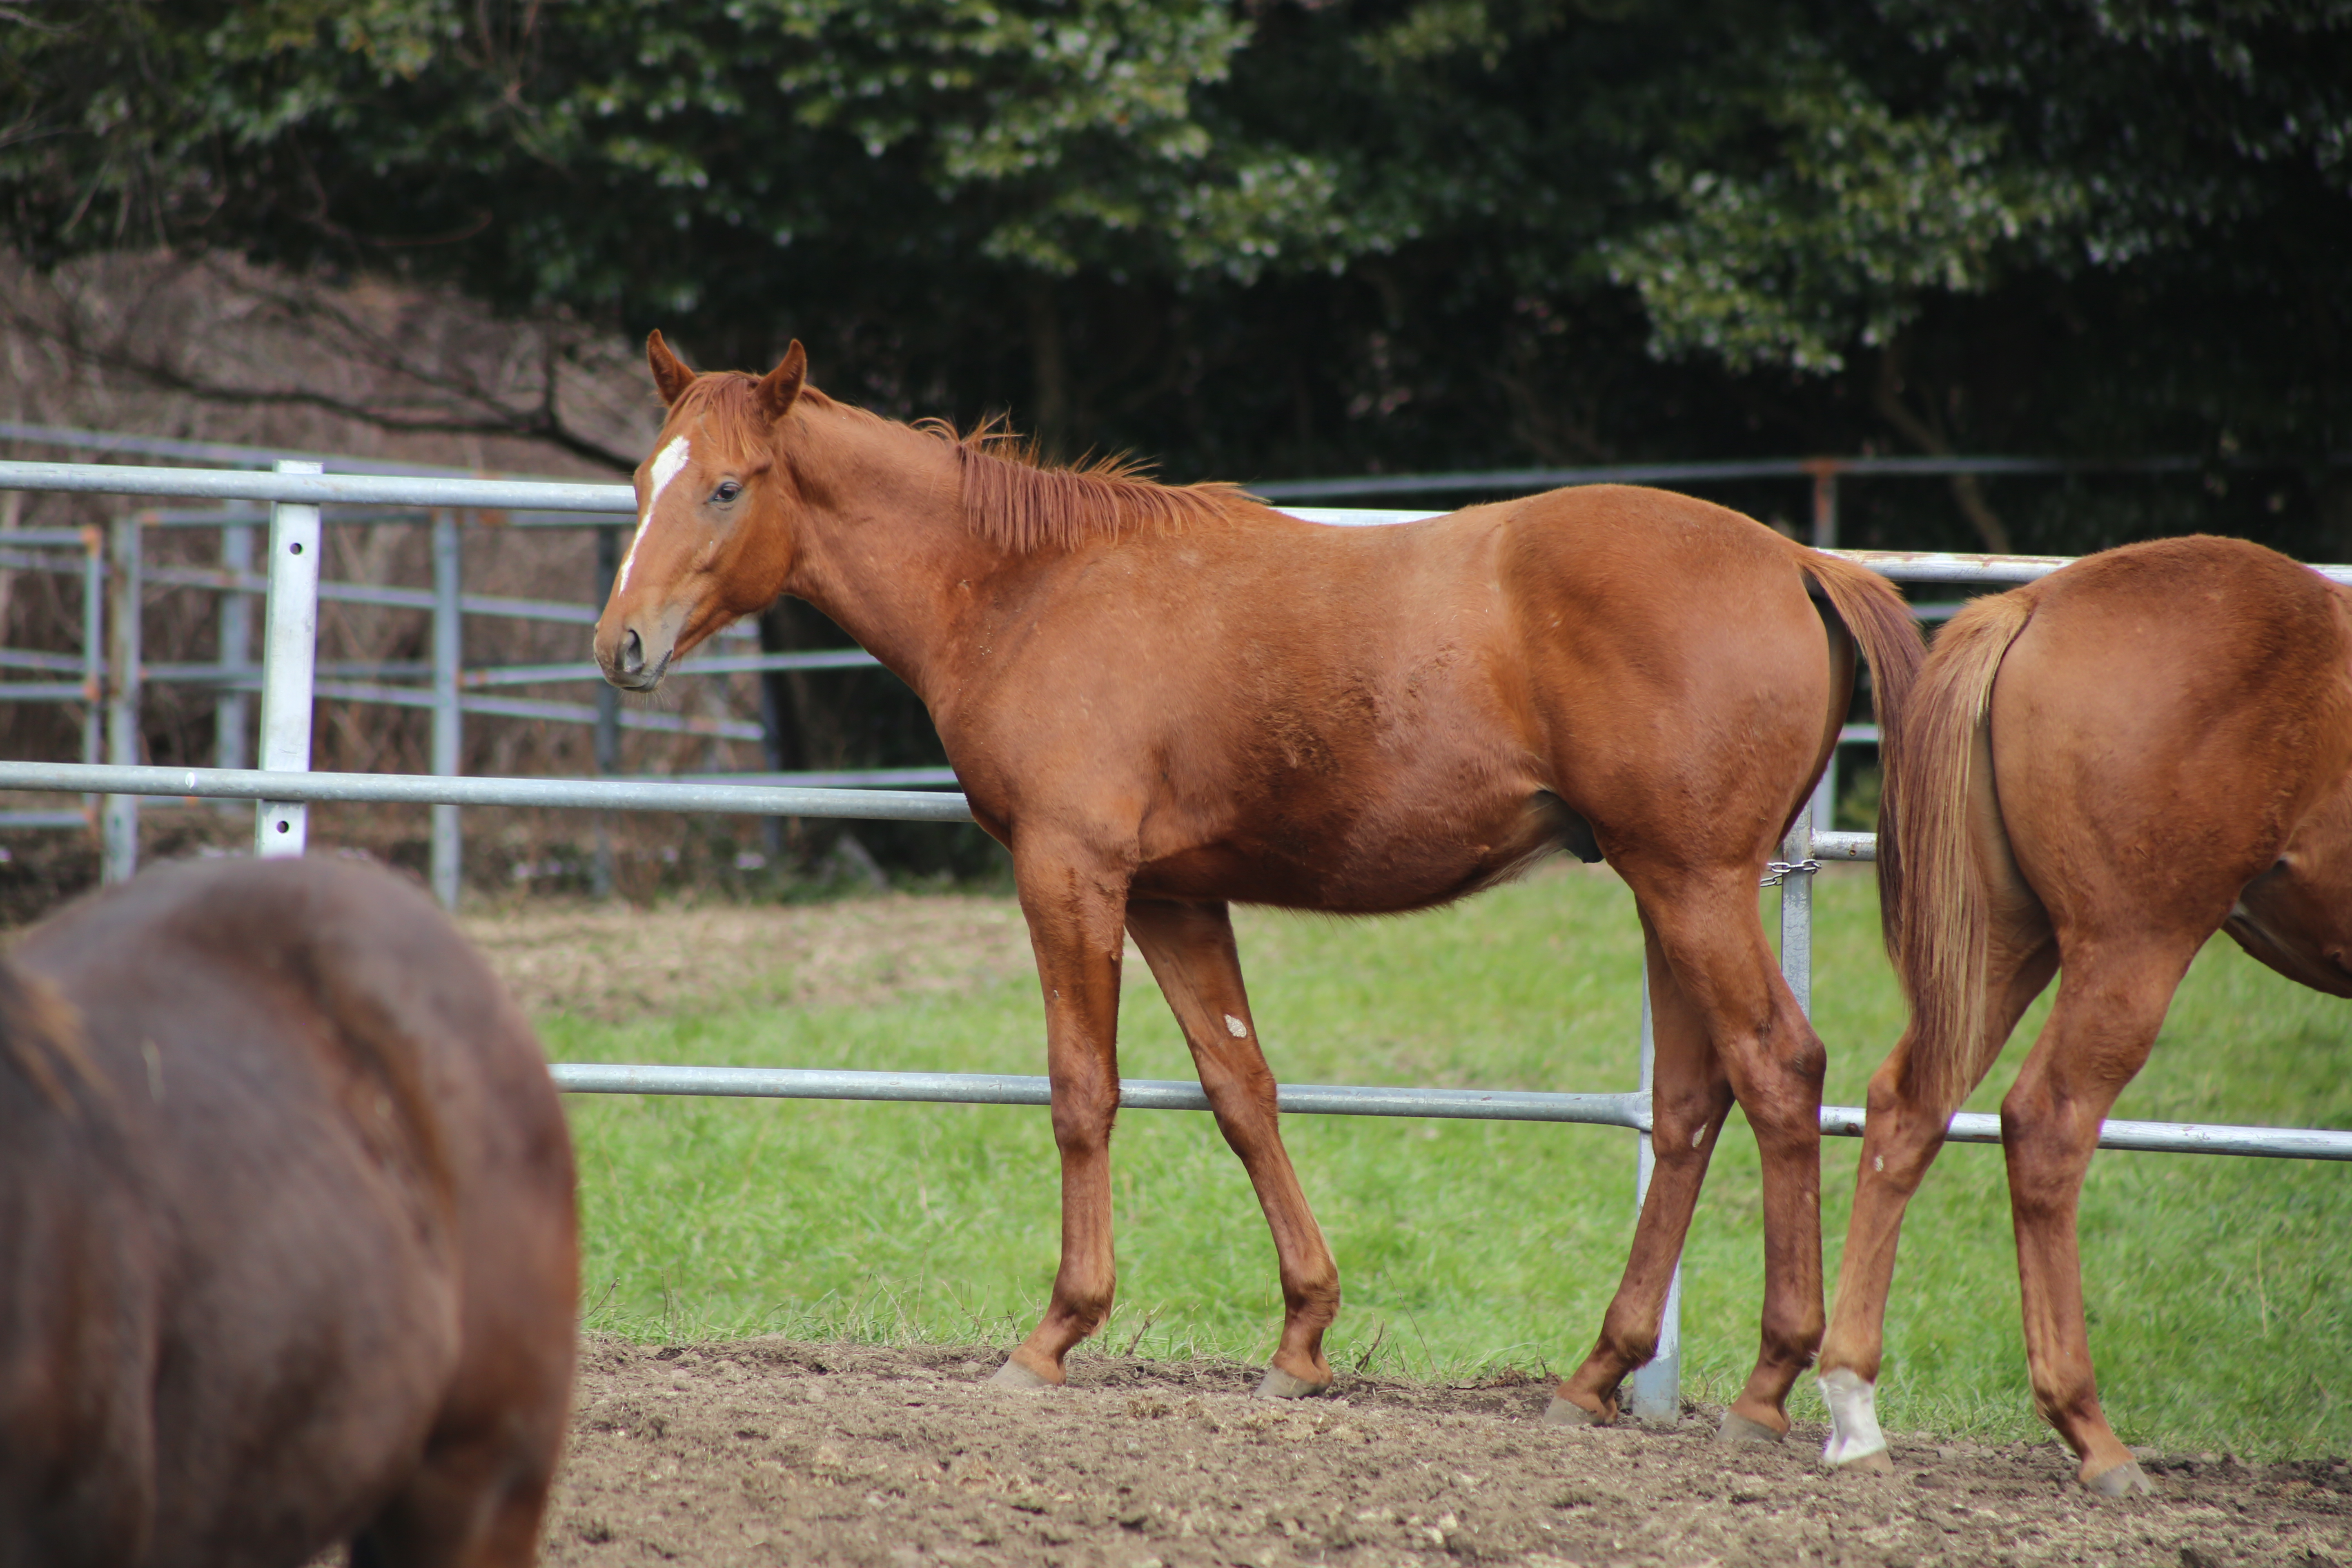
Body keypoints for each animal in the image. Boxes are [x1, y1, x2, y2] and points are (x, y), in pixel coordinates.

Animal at [597, 339, 1919, 1439]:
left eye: (726, 486)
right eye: (642, 480)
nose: (622, 646)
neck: (1029, 586)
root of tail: (1796, 559)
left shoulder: (1070, 872)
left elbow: (1083, 1091)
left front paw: (1054, 1333)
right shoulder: (1173, 898)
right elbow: (1242, 1092)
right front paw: (1301, 1338)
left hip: (1695, 887)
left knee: (1778, 1072)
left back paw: (1768, 1384)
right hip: (1667, 891)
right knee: (1693, 1103)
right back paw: (1598, 1370)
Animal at [1815, 536, 2352, 1495]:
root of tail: (2031, 605)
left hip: (2000, 946)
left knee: (1908, 1108)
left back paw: (1856, 1413)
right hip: (2133, 948)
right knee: (2046, 1122)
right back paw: (2094, 1437)